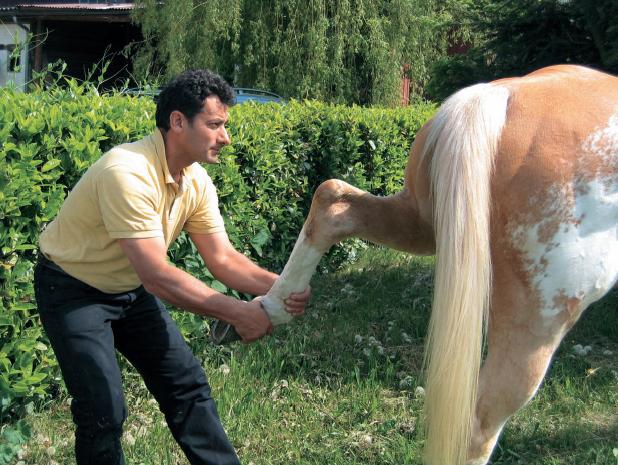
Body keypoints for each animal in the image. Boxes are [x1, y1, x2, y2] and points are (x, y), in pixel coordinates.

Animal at [258, 64, 616, 464]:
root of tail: (498, 97)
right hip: (539, 319)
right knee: (478, 426)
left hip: (421, 220)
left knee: (332, 202)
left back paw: (274, 305)